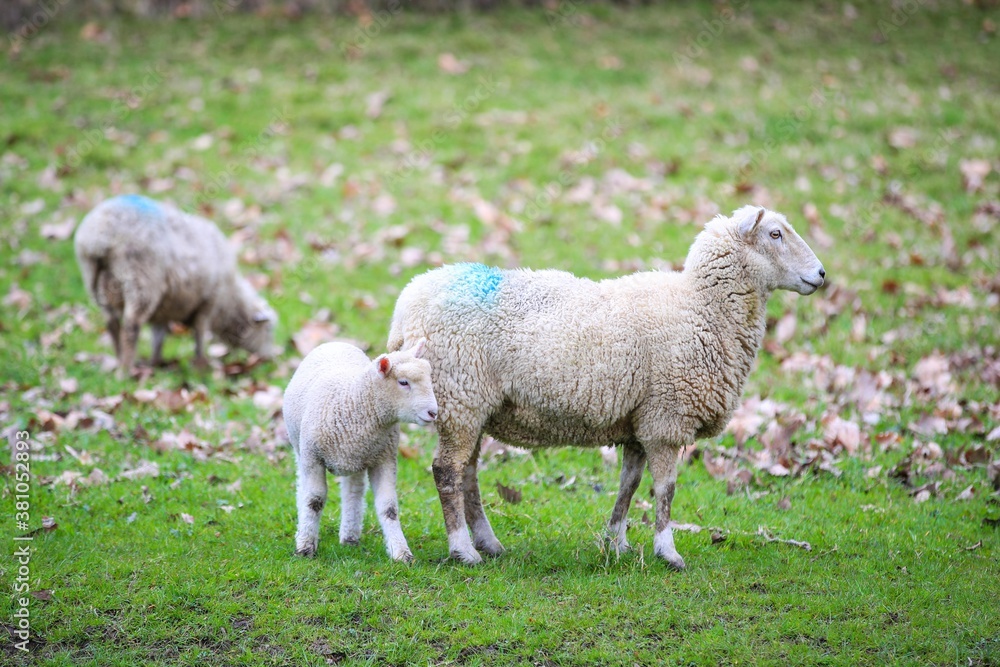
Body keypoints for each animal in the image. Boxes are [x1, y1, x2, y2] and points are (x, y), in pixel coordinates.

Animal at [74, 196, 280, 378]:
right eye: (268, 330)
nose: (269, 358)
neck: (230, 300)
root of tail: (99, 236)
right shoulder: (207, 303)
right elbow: (199, 335)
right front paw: (201, 366)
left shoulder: (163, 312)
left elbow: (158, 337)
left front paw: (155, 363)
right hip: (141, 281)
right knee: (131, 327)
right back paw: (125, 371)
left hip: (95, 282)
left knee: (112, 324)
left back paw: (119, 359)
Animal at [282, 340, 438, 564]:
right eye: (403, 382)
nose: (433, 413)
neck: (353, 400)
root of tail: (336, 342)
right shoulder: (313, 456)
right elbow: (314, 501)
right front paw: (305, 547)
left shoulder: (384, 458)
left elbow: (389, 508)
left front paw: (401, 552)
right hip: (299, 446)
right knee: (303, 488)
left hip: (358, 457)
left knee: (353, 492)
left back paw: (349, 537)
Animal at [386, 205, 824, 568]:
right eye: (775, 234)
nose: (822, 274)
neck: (702, 308)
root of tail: (404, 307)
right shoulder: (666, 418)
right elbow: (666, 490)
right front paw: (668, 551)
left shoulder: (640, 420)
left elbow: (629, 485)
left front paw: (617, 542)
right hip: (461, 395)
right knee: (447, 472)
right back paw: (463, 550)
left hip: (472, 405)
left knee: (468, 474)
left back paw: (488, 543)